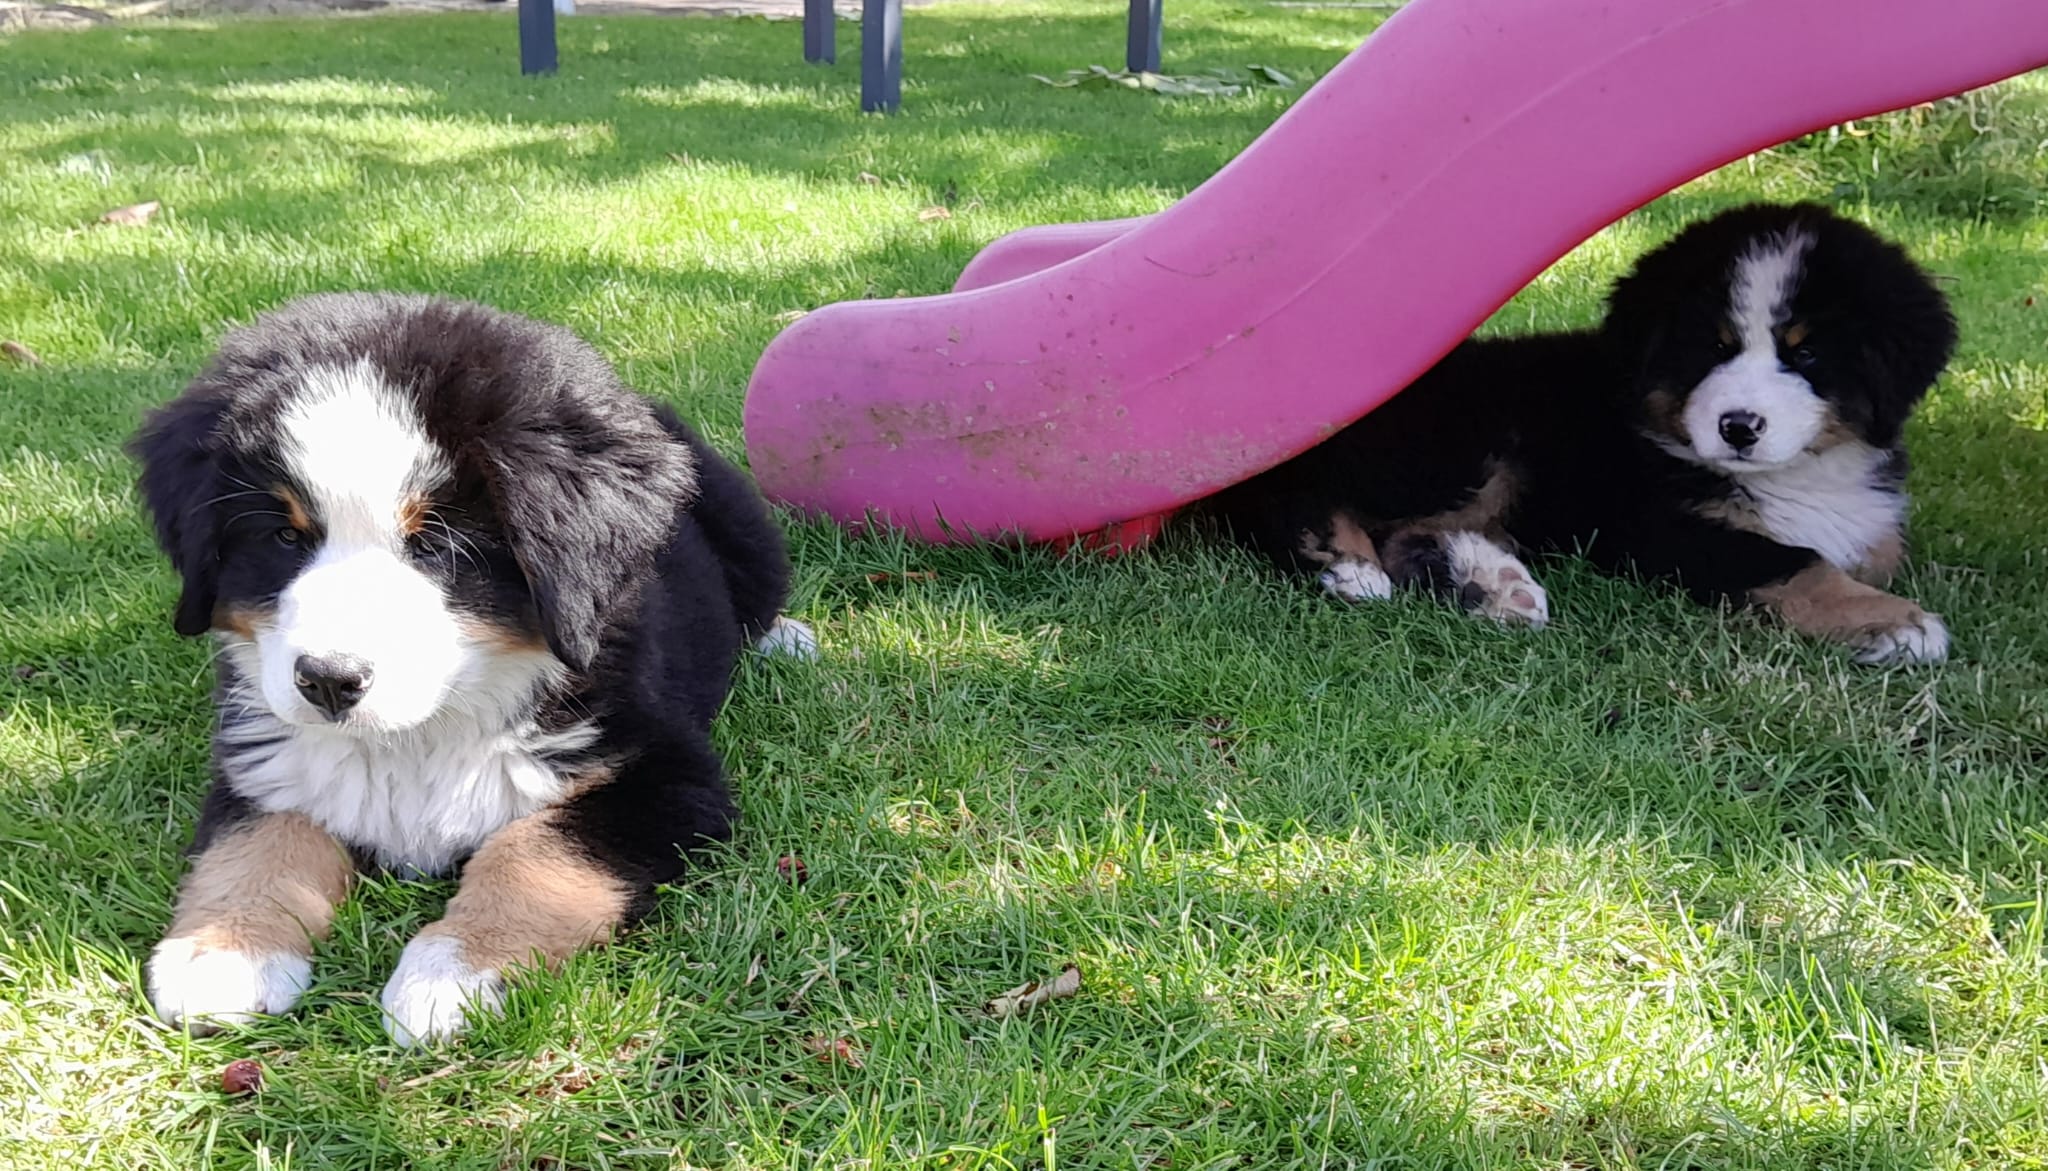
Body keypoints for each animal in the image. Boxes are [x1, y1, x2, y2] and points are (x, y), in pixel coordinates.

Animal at [125, 292, 815, 1044]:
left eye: (435, 544)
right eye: (283, 536)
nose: (328, 681)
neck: (418, 737)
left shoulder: (660, 770)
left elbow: (537, 853)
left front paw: (450, 973)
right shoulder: (261, 754)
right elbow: (257, 839)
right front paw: (224, 952)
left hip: (748, 535)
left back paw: (788, 637)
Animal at [1196, 204, 1949, 663]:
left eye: (1807, 353)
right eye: (1712, 347)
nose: (1737, 427)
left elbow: (1870, 548)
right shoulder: (1661, 526)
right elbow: (1795, 561)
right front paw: (1897, 621)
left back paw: (1492, 583)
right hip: (1470, 443)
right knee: (1301, 492)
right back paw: (1350, 566)